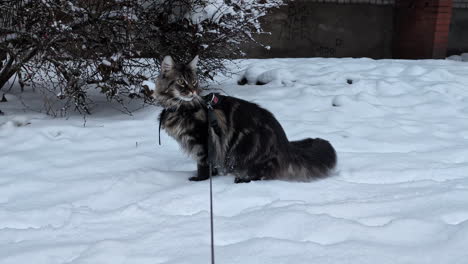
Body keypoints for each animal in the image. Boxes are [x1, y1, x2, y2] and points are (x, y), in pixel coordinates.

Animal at [154, 55, 336, 184]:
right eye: (181, 82)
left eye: (193, 81)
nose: (192, 91)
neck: (179, 107)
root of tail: (284, 143)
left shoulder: (203, 142)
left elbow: (203, 166)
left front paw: (200, 180)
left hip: (244, 149)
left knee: (263, 174)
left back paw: (242, 179)